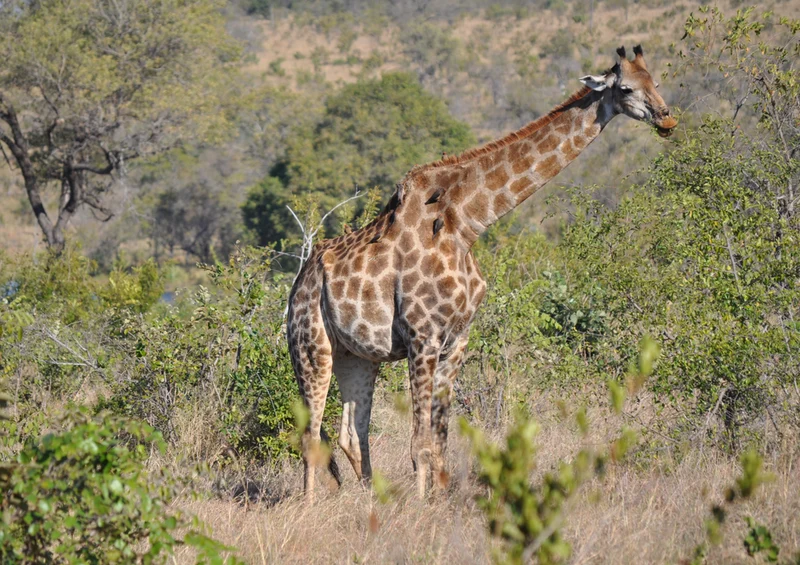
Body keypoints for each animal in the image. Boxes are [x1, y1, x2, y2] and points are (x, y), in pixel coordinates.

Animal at [287, 45, 677, 501]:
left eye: (656, 81)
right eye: (627, 88)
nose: (666, 117)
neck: (467, 224)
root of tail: (298, 282)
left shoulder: (456, 339)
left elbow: (439, 441)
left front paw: (434, 504)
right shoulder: (422, 336)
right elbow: (420, 443)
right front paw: (420, 510)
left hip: (358, 355)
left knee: (351, 434)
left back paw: (372, 502)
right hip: (310, 345)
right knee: (310, 434)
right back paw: (310, 506)